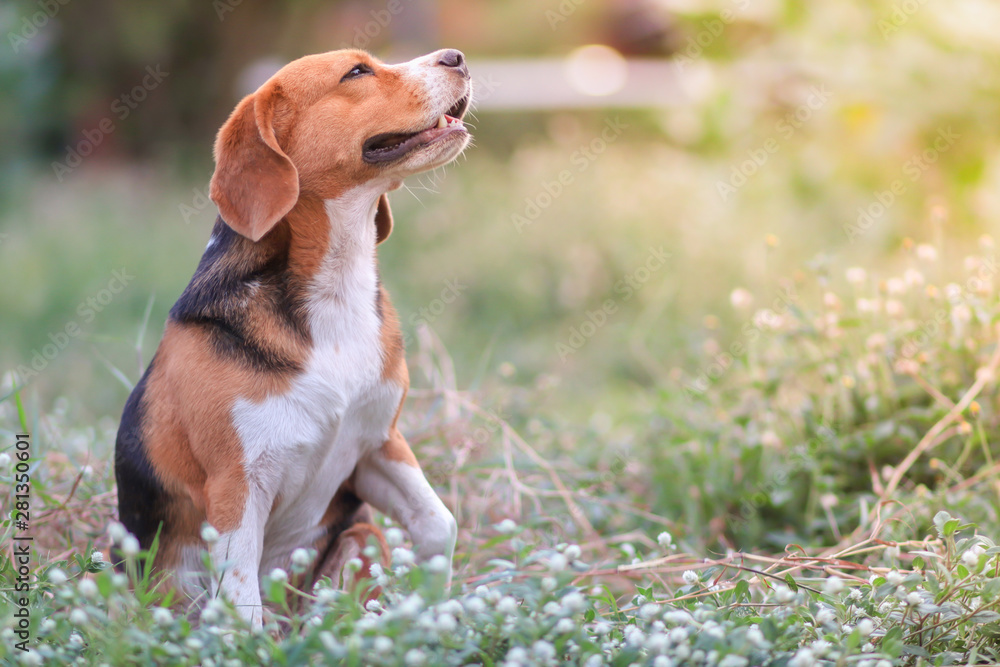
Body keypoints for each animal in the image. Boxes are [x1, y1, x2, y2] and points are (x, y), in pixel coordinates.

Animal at [115, 48, 474, 628]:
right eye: (357, 72)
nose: (457, 57)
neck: (336, 286)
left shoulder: (378, 444)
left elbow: (439, 524)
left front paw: (434, 614)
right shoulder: (237, 488)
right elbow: (243, 606)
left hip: (360, 532)